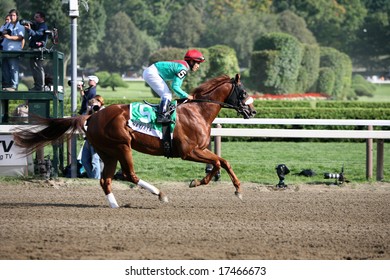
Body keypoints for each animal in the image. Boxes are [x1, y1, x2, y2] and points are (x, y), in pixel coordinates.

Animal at [12, 73, 256, 207]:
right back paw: (160, 194)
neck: (197, 112)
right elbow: (216, 164)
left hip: (108, 152)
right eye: (243, 92)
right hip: (122, 146)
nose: (252, 111)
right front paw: (198, 182)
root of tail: (92, 115)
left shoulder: (199, 150)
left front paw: (237, 189)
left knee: (105, 180)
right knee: (129, 174)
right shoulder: (189, 151)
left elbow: (223, 162)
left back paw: (115, 205)